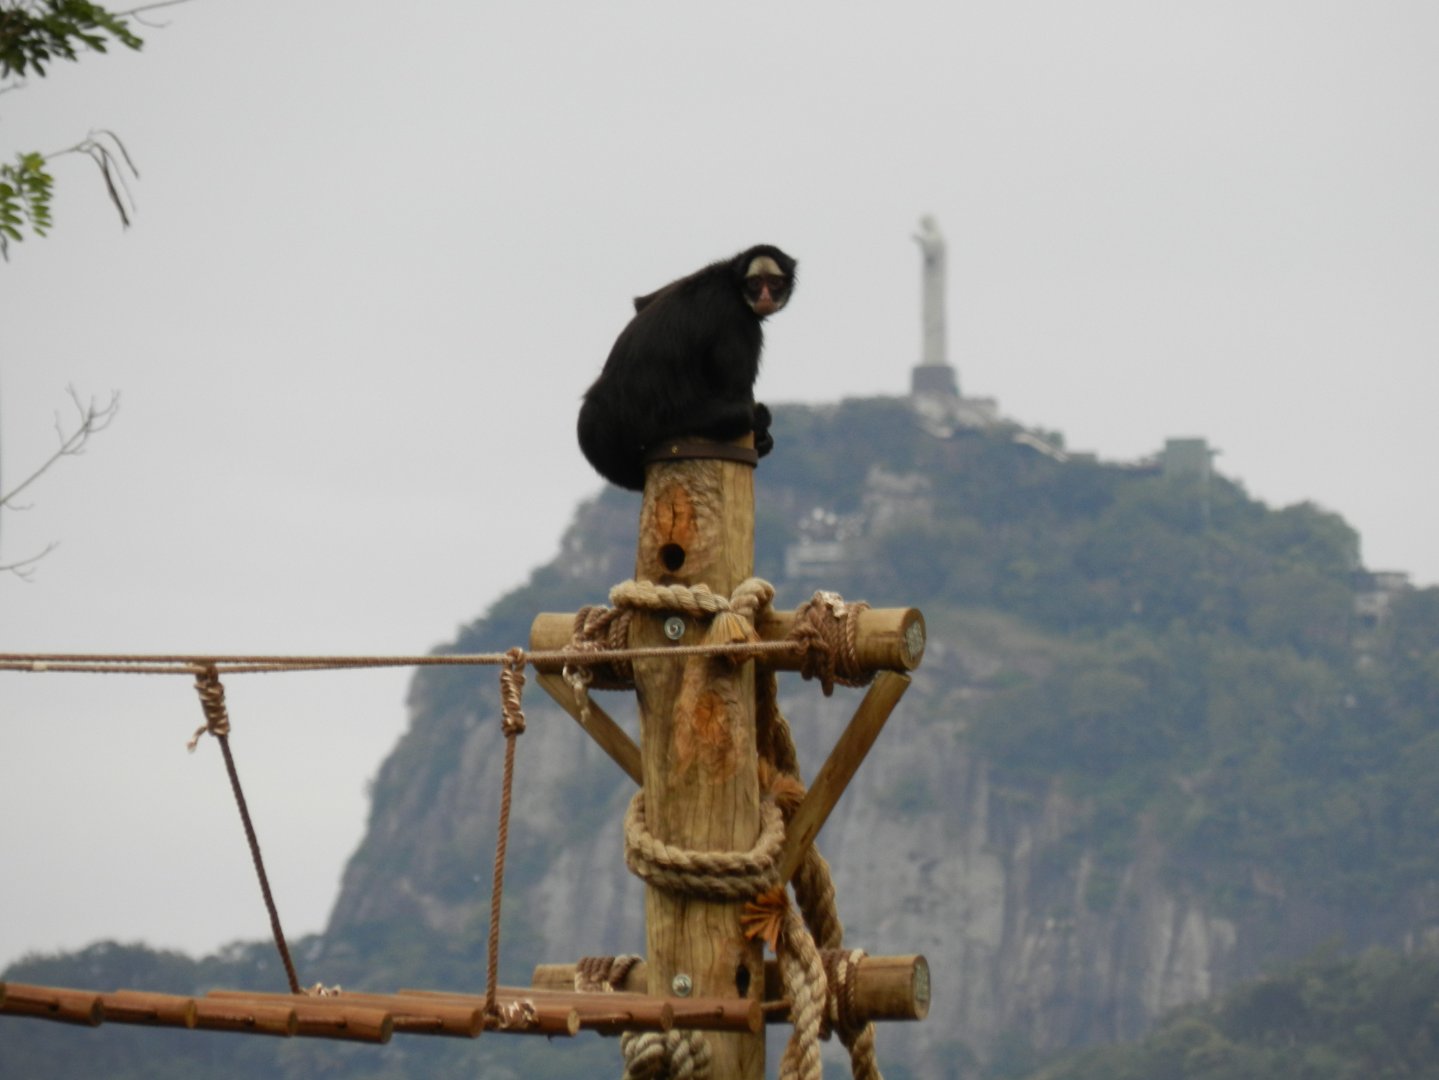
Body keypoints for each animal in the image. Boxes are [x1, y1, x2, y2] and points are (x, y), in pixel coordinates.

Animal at [577, 244, 797, 491]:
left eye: (774, 283)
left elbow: (641, 303)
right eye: (756, 283)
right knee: (739, 415)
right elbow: (735, 392)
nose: (765, 296)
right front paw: (760, 430)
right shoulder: (738, 319)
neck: (730, 279)